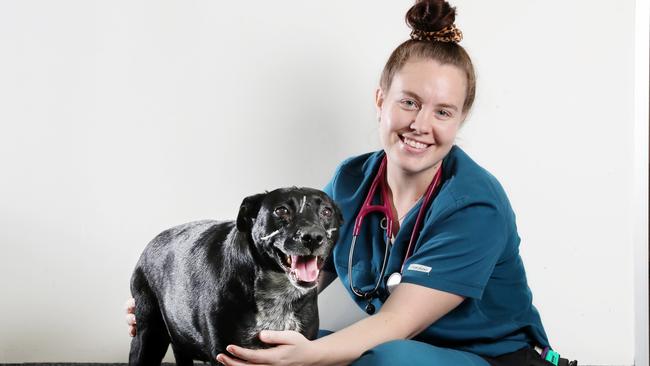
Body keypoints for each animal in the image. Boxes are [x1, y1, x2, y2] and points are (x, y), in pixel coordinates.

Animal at [126, 187, 342, 366]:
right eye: (281, 210)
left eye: (326, 211)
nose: (313, 237)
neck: (277, 292)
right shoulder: (225, 355)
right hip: (148, 337)